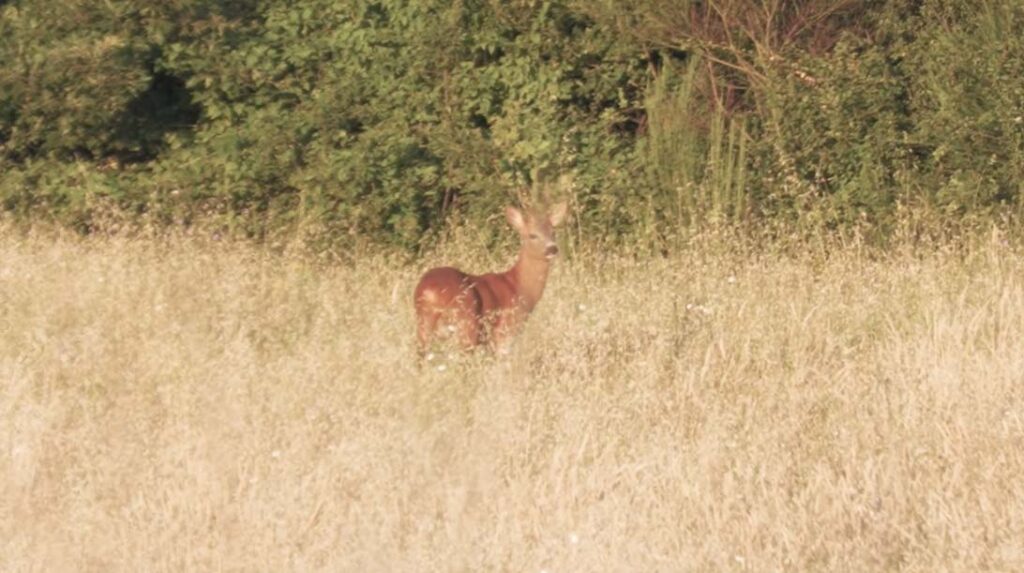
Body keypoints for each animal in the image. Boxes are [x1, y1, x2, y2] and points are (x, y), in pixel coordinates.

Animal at [411, 201, 569, 354]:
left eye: (553, 232)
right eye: (532, 235)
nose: (552, 249)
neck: (519, 287)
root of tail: (428, 292)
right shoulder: (505, 332)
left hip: (425, 325)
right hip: (467, 324)